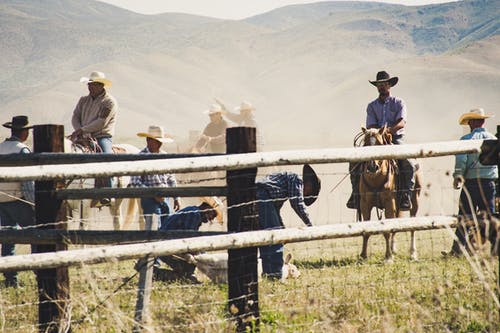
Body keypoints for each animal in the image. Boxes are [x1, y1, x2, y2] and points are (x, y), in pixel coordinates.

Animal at [356, 126, 422, 260]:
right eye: (365, 143)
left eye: (380, 144)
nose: (372, 167)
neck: (375, 180)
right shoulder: (365, 204)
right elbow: (366, 230)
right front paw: (363, 255)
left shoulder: (389, 204)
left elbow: (387, 230)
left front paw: (388, 257)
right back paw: (393, 249)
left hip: (415, 200)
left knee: (412, 225)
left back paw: (412, 253)